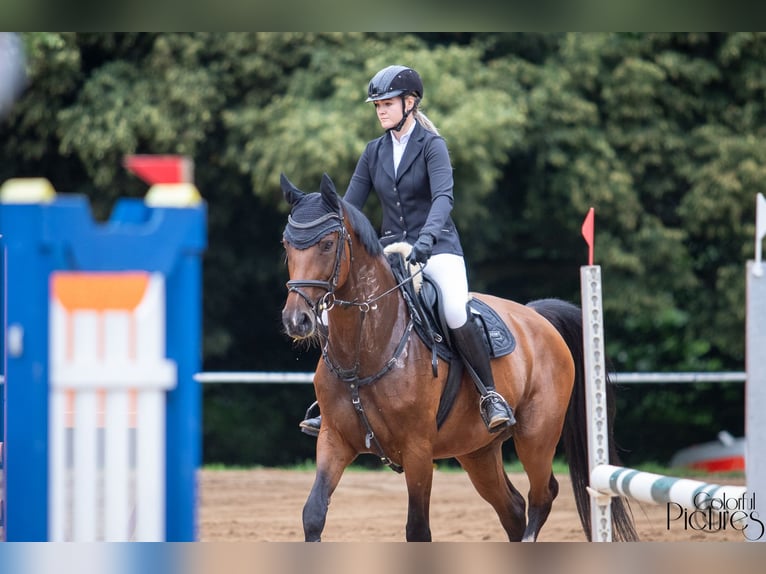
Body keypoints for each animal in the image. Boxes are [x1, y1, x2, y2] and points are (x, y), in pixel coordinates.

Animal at [279, 173, 637, 542]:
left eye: (327, 244)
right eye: (286, 245)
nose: (296, 320)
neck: (365, 346)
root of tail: (537, 316)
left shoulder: (418, 451)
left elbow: (417, 529)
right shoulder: (333, 439)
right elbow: (314, 513)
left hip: (536, 437)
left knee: (542, 495)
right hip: (477, 451)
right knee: (512, 507)